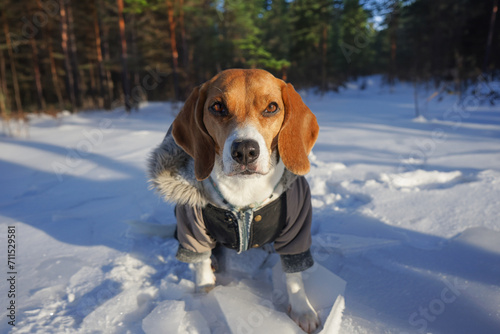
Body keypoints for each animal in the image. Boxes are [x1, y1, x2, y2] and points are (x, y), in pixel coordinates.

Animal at [148, 69, 320, 332]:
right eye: (217, 107)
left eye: (271, 107)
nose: (245, 151)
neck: (244, 195)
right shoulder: (191, 229)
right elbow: (200, 267)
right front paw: (206, 299)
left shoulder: (297, 228)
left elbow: (294, 277)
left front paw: (303, 310)